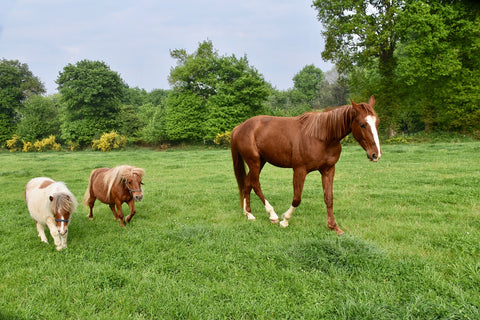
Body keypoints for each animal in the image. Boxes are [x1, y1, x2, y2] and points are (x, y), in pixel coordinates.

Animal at [231, 95, 380, 235]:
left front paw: (334, 227)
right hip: (254, 162)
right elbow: (297, 198)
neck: (322, 136)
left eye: (377, 122)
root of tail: (240, 127)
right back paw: (272, 215)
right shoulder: (300, 170)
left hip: (260, 161)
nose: (375, 154)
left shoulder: (328, 170)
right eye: (362, 124)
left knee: (247, 183)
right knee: (255, 184)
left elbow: (329, 198)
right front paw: (285, 220)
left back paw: (248, 214)